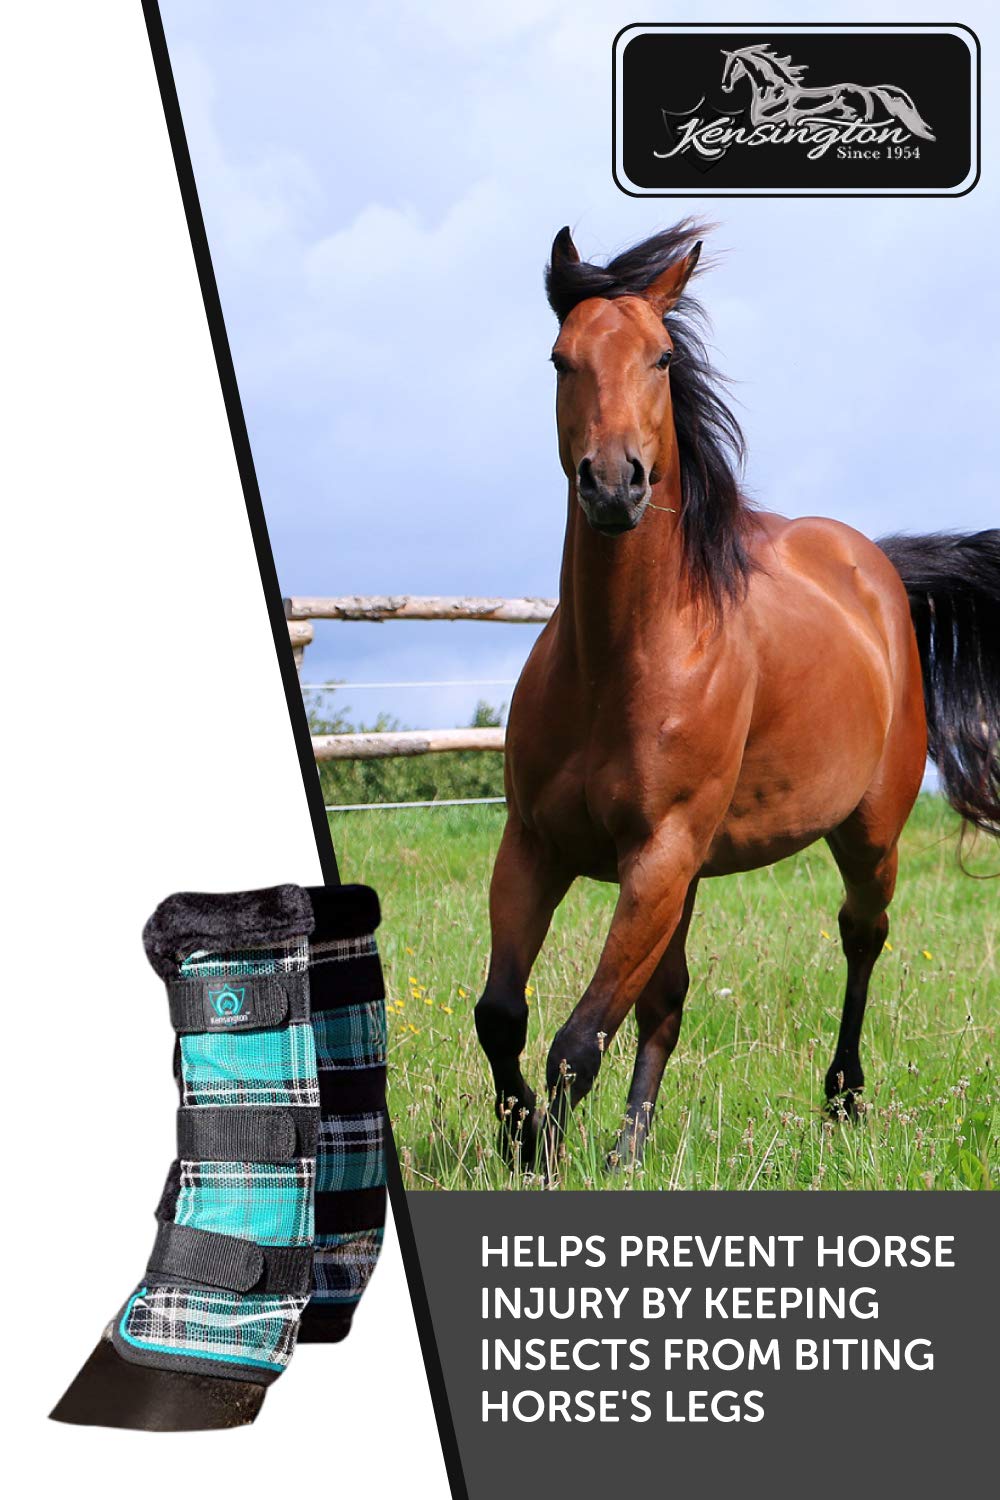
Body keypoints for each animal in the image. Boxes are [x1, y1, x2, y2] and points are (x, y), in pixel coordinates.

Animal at [473, 222, 999, 1172]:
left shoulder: (657, 856)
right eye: (561, 359)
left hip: (868, 835)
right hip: (685, 876)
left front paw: (545, 1156)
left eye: (661, 357)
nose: (615, 483)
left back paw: (843, 1101)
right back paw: (633, 1148)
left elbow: (577, 1041)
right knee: (666, 1002)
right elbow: (503, 1013)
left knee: (862, 937)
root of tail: (877, 570)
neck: (619, 663)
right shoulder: (539, 845)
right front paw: (525, 1139)